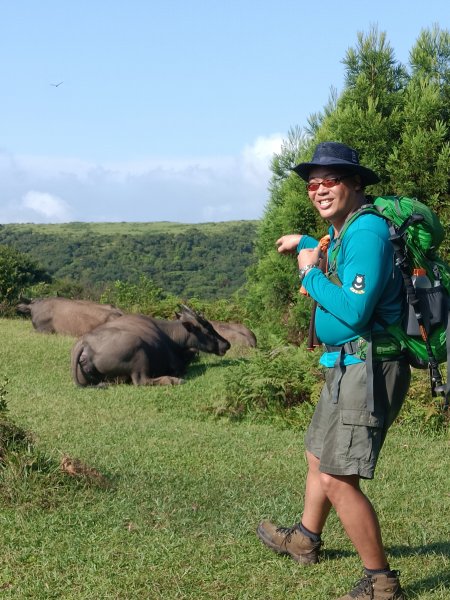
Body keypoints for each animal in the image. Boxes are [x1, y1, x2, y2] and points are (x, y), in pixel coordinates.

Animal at [72, 308, 232, 386]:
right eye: (207, 329)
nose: (226, 344)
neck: (171, 336)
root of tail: (84, 344)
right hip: (139, 353)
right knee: (141, 381)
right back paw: (174, 380)